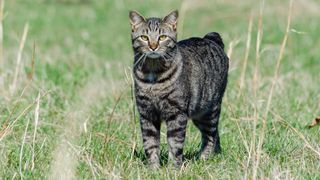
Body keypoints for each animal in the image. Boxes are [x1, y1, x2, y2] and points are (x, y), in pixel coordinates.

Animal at [129, 9, 229, 167]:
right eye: (144, 37)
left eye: (162, 37)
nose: (153, 46)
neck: (153, 74)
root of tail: (210, 38)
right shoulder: (147, 114)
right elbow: (150, 144)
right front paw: (154, 168)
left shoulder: (177, 113)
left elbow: (175, 144)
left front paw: (173, 168)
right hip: (198, 114)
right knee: (215, 134)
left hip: (209, 111)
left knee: (211, 136)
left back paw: (203, 158)